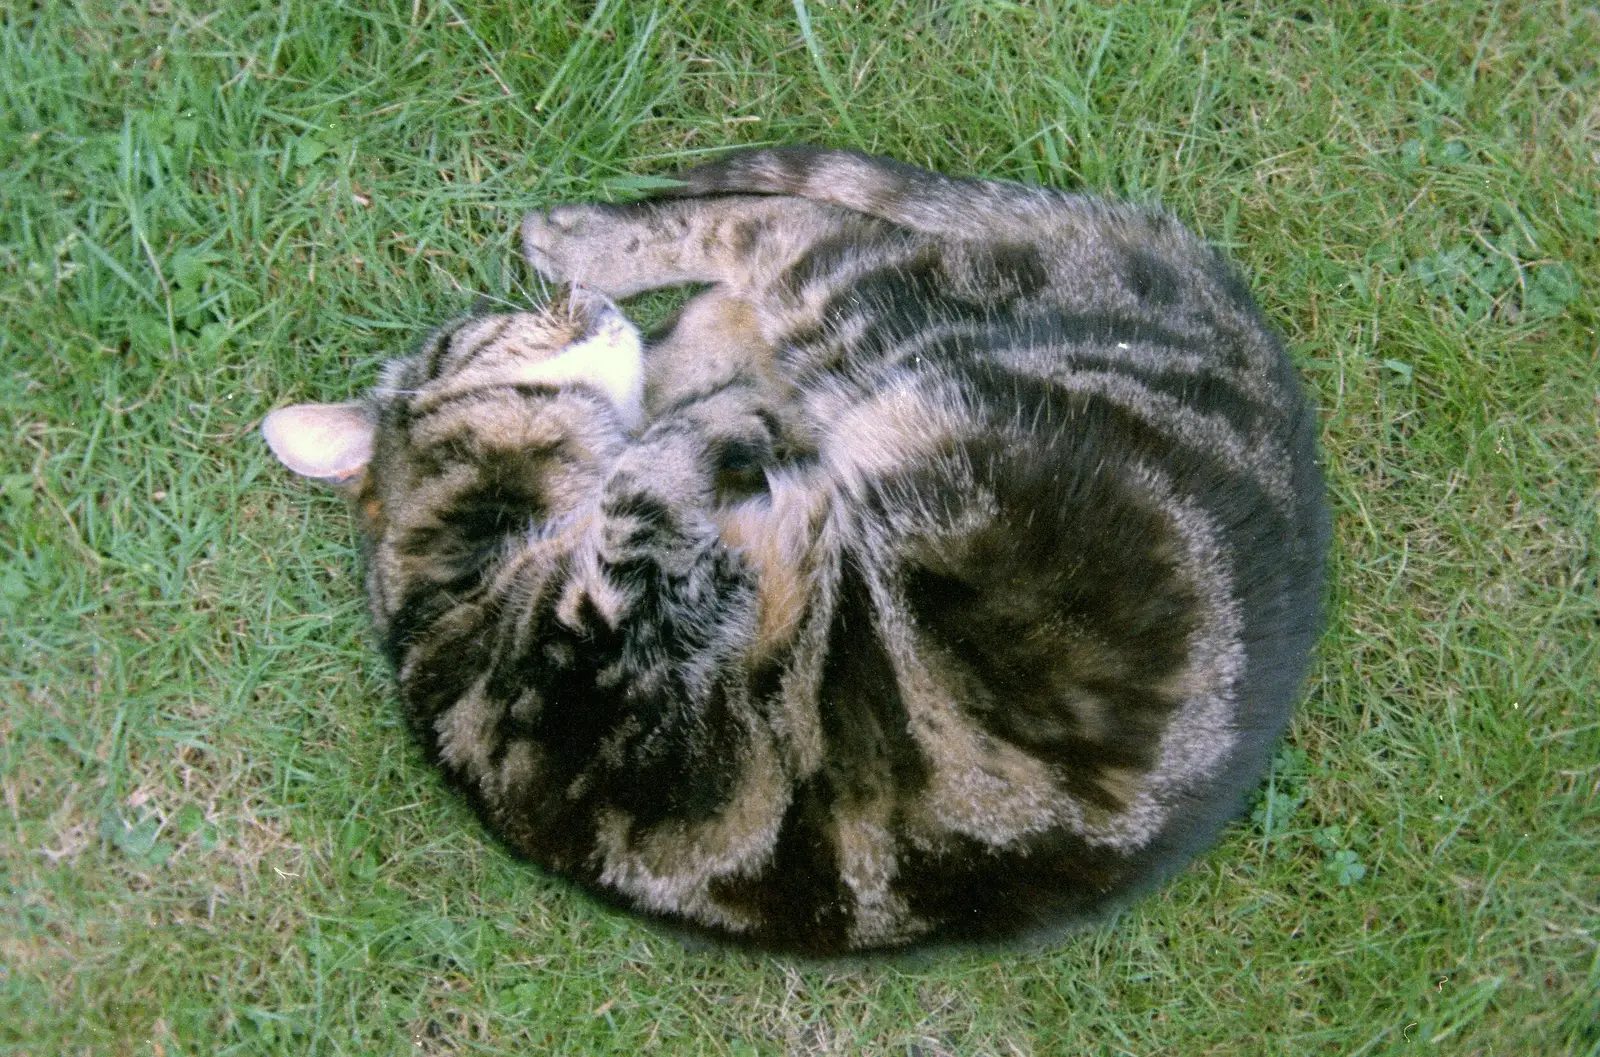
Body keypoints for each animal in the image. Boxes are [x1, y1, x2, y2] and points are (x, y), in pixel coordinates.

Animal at [268, 148, 1331, 959]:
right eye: (492, 327)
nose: (567, 303)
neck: (457, 558)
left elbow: (665, 409)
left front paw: (694, 381)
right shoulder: (602, 626)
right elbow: (650, 476)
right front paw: (712, 414)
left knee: (789, 227)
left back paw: (601, 256)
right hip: (878, 322)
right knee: (783, 229)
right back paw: (603, 254)